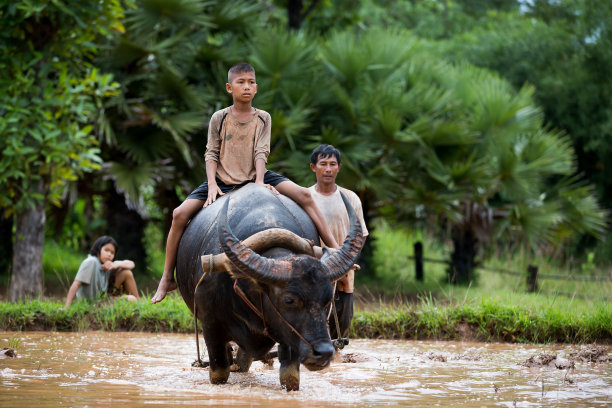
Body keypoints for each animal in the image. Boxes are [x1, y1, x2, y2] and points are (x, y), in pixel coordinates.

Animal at [175, 183, 360, 390]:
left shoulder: (288, 336)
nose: (324, 352)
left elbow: (290, 377)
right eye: (289, 300)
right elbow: (220, 372)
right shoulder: (210, 323)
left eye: (328, 300)